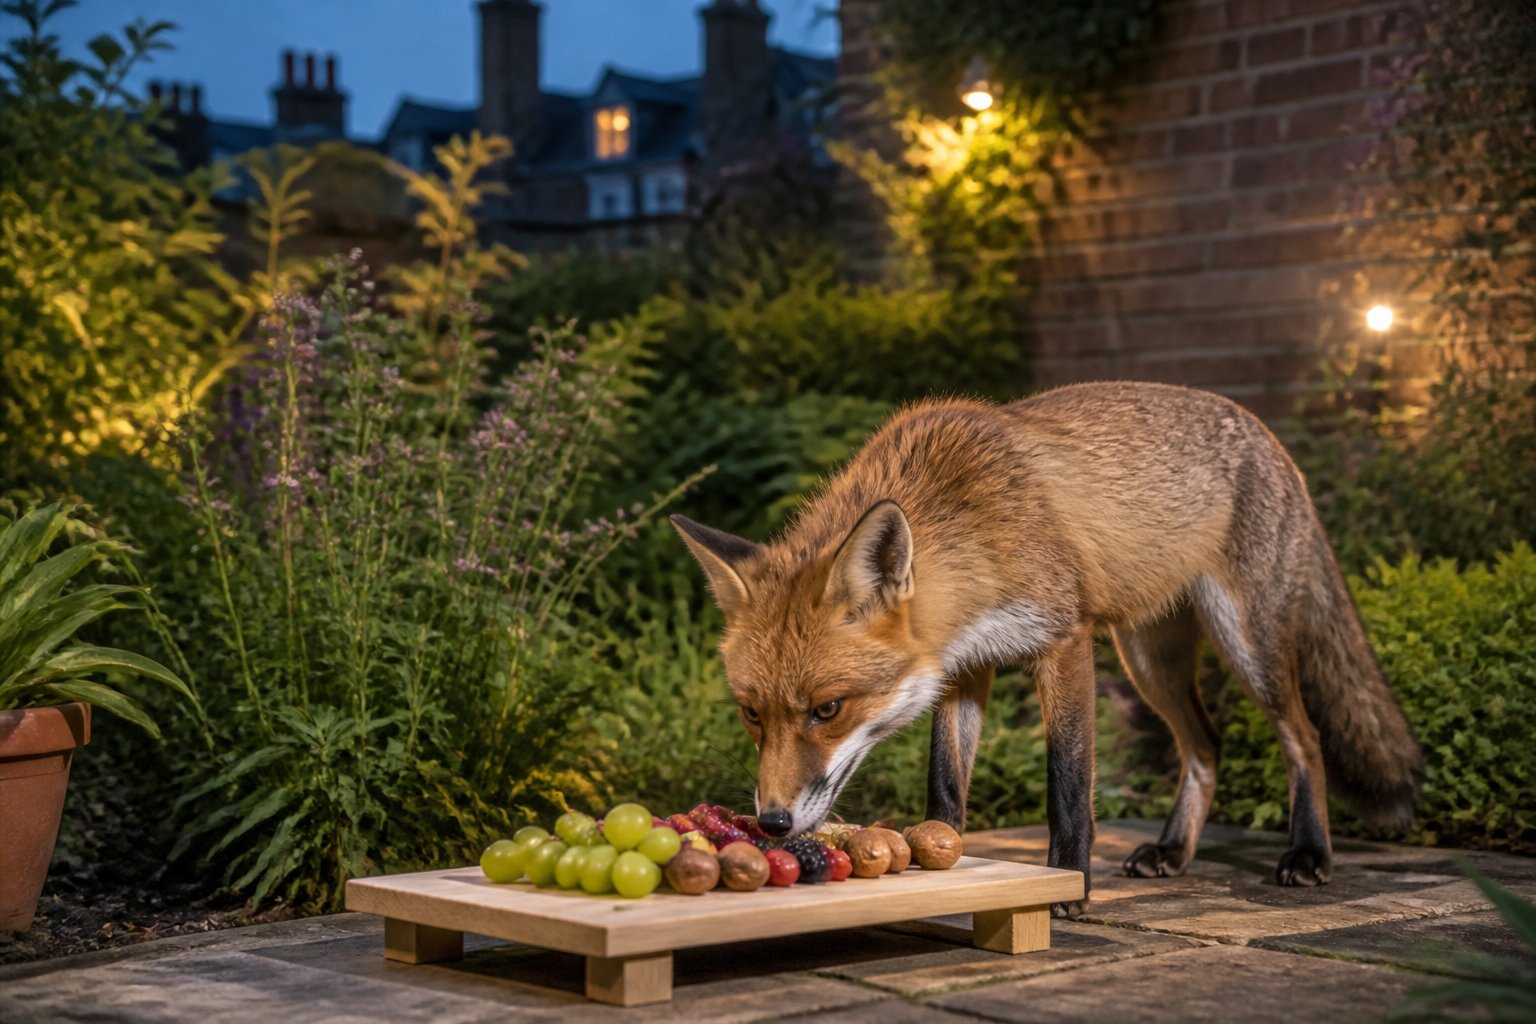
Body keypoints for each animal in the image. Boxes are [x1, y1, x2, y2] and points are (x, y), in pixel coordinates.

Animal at [672, 381, 1422, 916]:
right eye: (751, 715)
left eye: (828, 710)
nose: (771, 823)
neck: (970, 527)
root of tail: (1270, 436)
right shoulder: (963, 668)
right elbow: (945, 784)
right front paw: (936, 866)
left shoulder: (1063, 641)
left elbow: (1068, 784)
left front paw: (1069, 887)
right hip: (1149, 661)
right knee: (1205, 746)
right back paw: (1174, 850)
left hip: (1246, 644)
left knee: (1305, 737)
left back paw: (1309, 853)